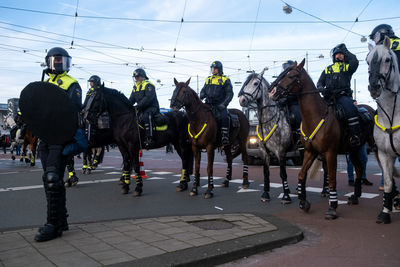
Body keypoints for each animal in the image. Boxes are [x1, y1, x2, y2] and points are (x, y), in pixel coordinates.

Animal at [268, 58, 376, 220]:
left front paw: (332, 207)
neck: (316, 116)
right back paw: (355, 196)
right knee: (359, 168)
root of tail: (369, 110)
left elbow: (332, 178)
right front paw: (303, 202)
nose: (272, 92)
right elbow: (301, 175)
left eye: (291, 76)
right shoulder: (309, 152)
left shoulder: (330, 153)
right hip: (353, 149)